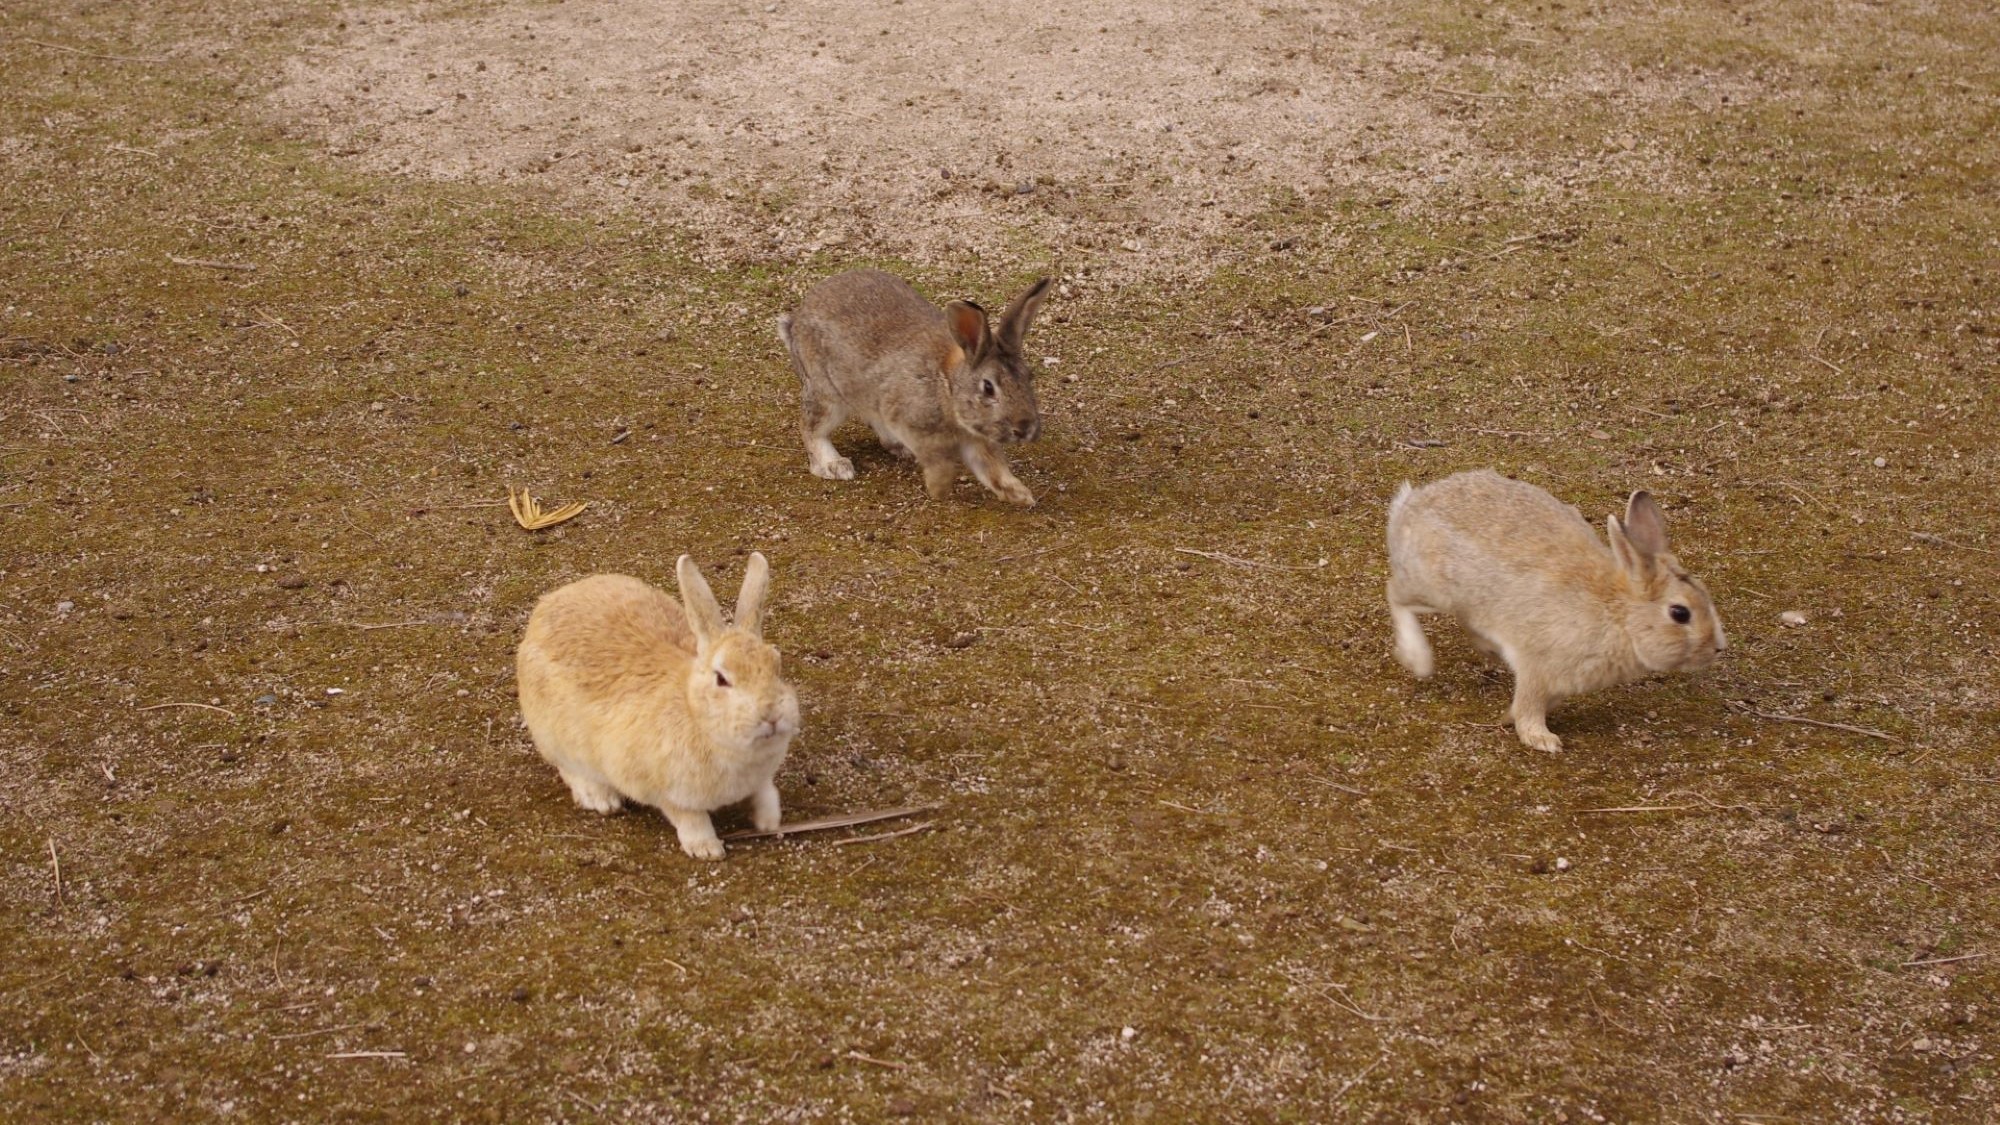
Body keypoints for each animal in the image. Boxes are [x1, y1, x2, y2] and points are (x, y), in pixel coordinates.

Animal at [516, 552, 796, 856]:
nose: (771, 714)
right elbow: (689, 817)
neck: (694, 713)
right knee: (569, 769)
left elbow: (766, 792)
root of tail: (544, 608)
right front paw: (707, 849)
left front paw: (770, 822)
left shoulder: (761, 778)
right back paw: (600, 799)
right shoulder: (664, 790)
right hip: (556, 739)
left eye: (777, 665)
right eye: (721, 679)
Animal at [776, 268, 1056, 504]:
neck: (947, 387)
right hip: (827, 393)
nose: (1025, 429)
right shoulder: (909, 422)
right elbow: (939, 461)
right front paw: (939, 488)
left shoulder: (976, 439)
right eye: (988, 387)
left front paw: (1020, 495)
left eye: (1029, 376)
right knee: (812, 428)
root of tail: (795, 322)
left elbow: (993, 469)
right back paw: (835, 465)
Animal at [1384, 468, 1728, 748]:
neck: (1620, 615)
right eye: (1680, 613)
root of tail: (1409, 506)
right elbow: (1530, 705)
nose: (1718, 648)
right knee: (1395, 593)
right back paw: (1418, 659)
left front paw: (1508, 718)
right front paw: (1541, 738)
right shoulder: (1538, 666)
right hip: (1433, 587)